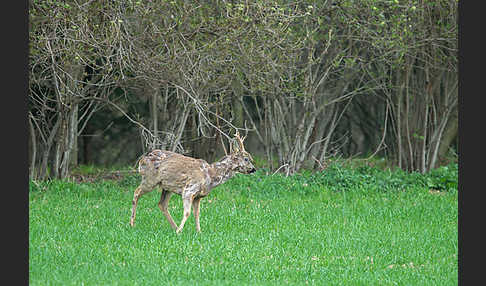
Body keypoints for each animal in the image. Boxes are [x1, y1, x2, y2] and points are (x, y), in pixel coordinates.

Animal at [129, 132, 258, 232]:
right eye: (246, 159)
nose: (253, 169)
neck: (211, 175)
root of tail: (142, 160)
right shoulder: (189, 189)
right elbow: (187, 212)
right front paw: (180, 231)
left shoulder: (198, 196)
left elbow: (197, 214)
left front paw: (198, 231)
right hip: (150, 179)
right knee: (136, 192)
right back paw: (132, 223)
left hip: (166, 187)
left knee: (162, 204)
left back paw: (174, 227)